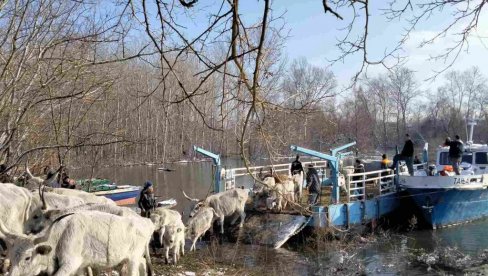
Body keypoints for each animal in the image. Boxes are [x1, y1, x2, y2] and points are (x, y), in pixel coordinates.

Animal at [0, 211, 153, 276]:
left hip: (133, 258)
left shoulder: (70, 264)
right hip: (130, 258)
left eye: (27, 257)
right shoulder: (80, 266)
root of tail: (145, 221)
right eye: (11, 257)